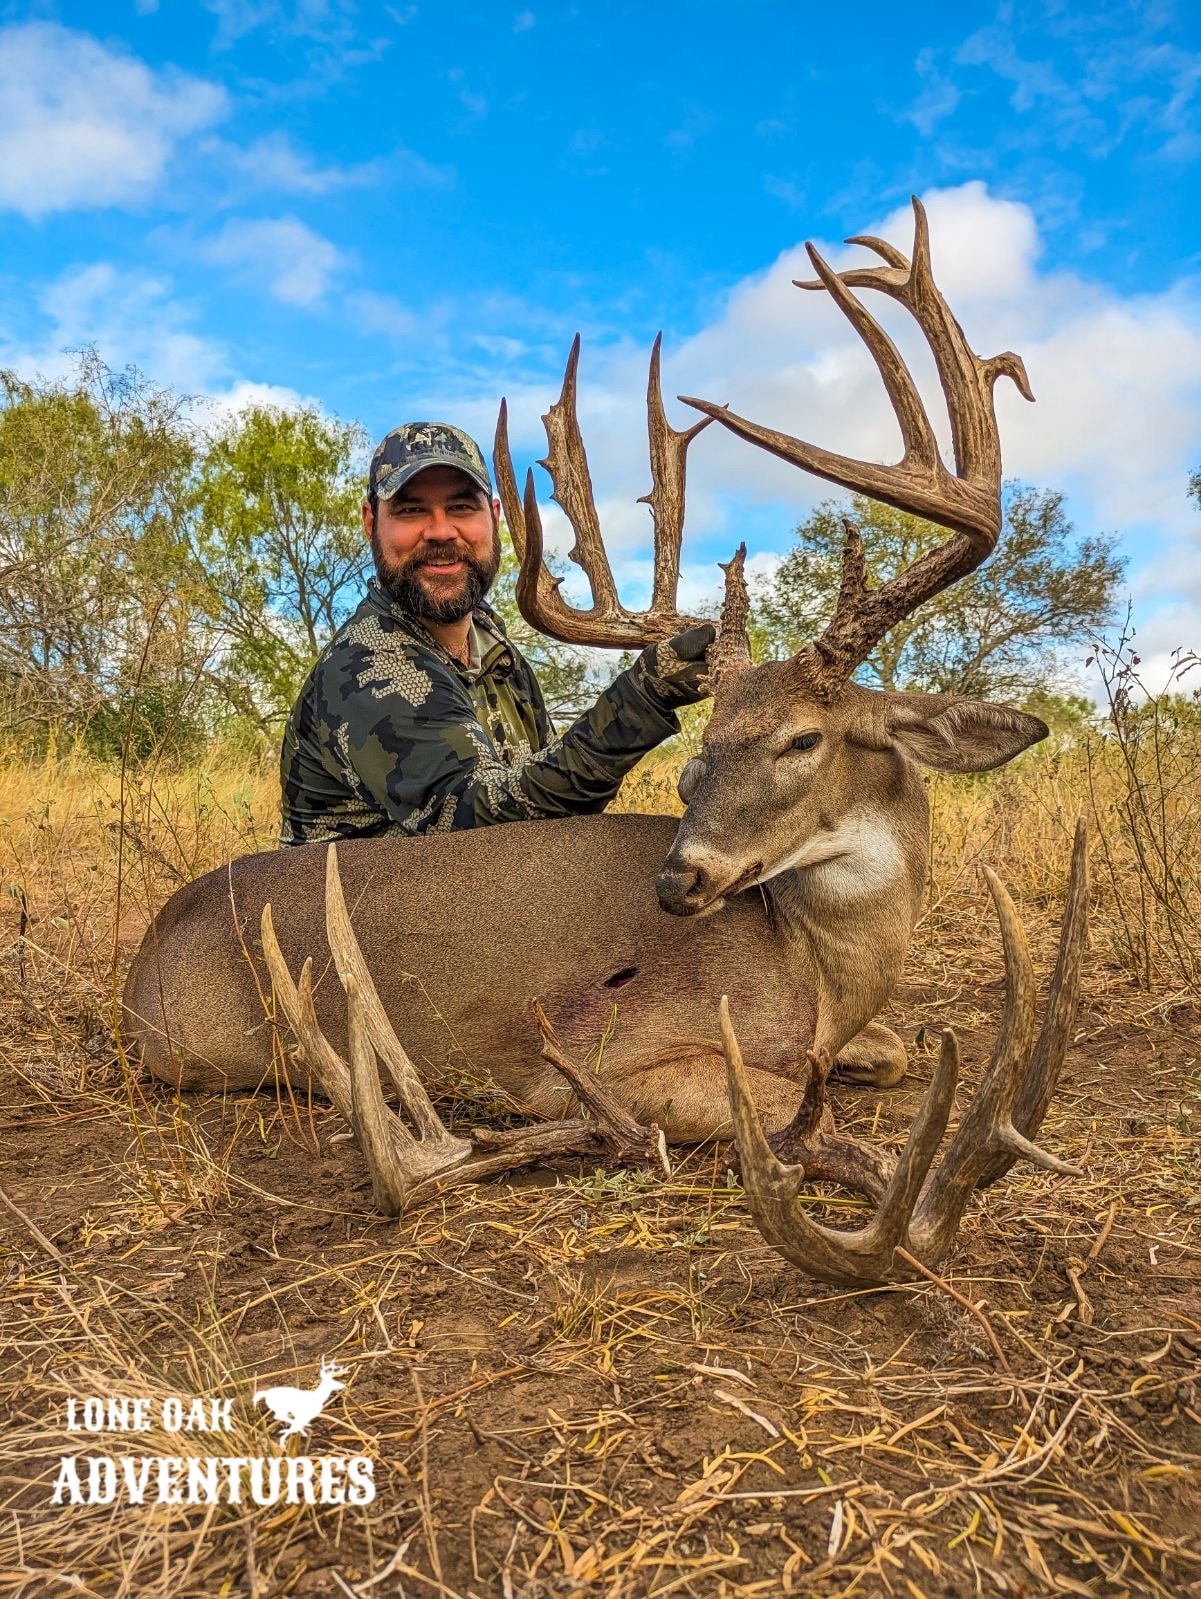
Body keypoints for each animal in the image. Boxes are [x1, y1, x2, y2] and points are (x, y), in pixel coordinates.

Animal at [121, 199, 1088, 1287]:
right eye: (701, 758)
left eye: (800, 738)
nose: (679, 877)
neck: (817, 960)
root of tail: (149, 947)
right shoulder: (607, 1064)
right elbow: (801, 1119)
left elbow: (892, 1050)